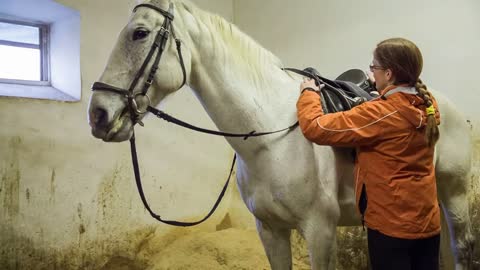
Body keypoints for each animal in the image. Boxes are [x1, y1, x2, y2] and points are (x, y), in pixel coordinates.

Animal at [88, 0, 474, 268]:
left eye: (139, 33)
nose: (98, 115)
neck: (271, 137)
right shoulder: (271, 230)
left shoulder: (320, 232)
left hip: (454, 195)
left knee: (460, 249)